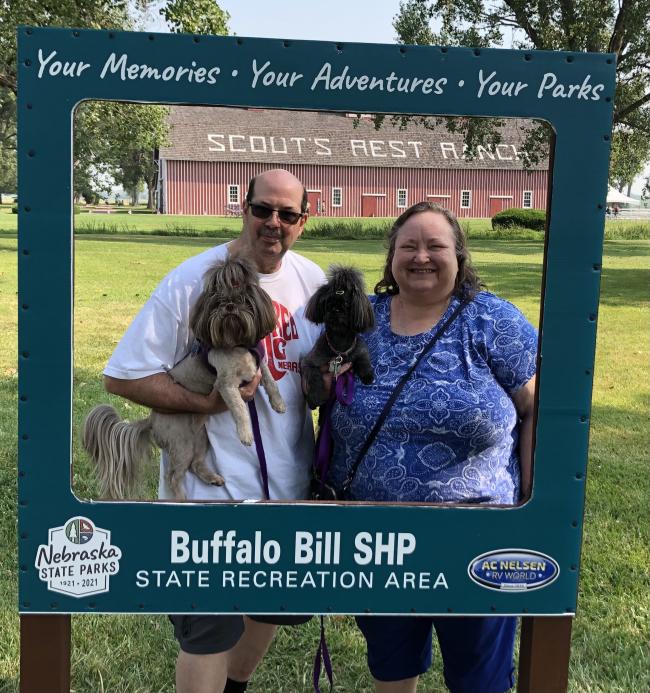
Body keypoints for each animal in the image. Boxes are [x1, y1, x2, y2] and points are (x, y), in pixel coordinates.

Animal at [81, 254, 284, 498]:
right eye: (217, 302)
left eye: (243, 300)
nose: (229, 306)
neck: (237, 344)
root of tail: (151, 420)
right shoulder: (226, 385)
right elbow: (240, 409)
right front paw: (245, 434)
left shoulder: (258, 364)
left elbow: (270, 381)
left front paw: (279, 404)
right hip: (182, 442)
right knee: (174, 476)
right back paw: (181, 497)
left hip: (200, 438)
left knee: (195, 464)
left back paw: (213, 478)